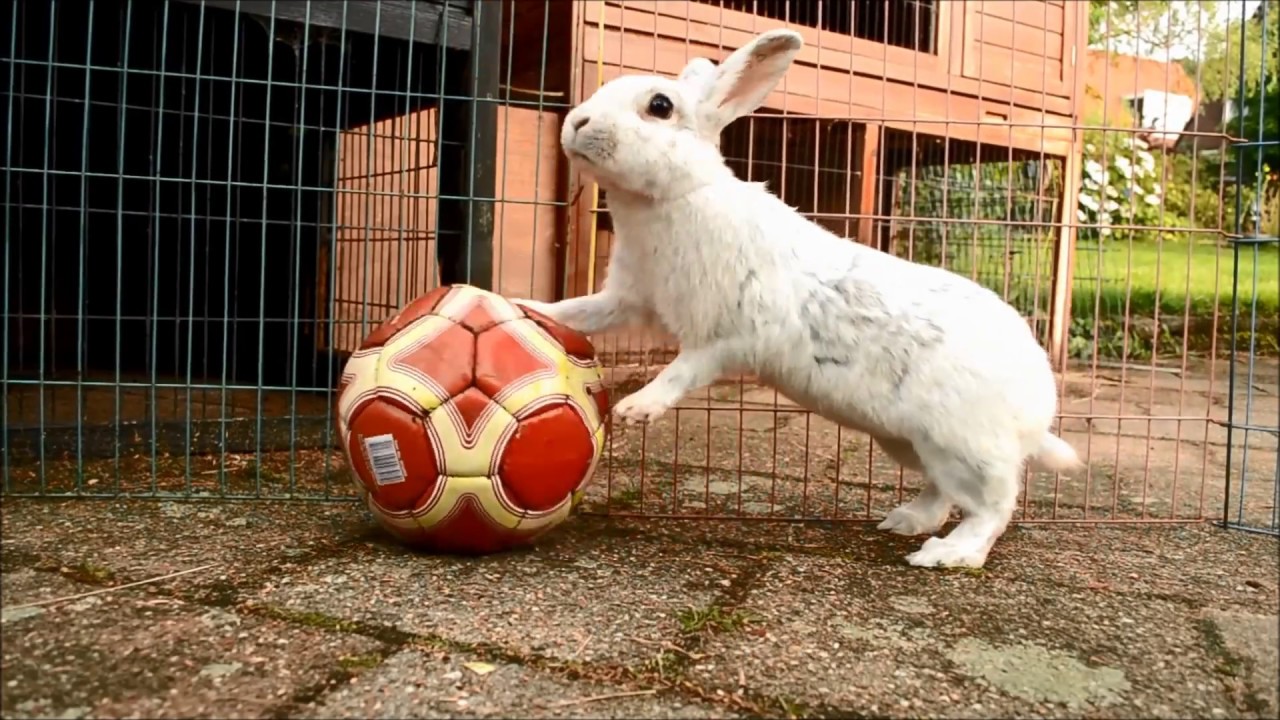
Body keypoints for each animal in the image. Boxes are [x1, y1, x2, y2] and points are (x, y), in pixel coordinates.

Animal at [509, 28, 1080, 568]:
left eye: (660, 105)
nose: (576, 123)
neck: (676, 197)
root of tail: (1037, 407)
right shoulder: (628, 298)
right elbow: (579, 312)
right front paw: (518, 306)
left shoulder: (726, 334)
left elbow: (682, 370)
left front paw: (636, 408)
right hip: (909, 442)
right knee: (942, 493)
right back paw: (905, 521)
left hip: (963, 446)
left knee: (993, 506)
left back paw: (946, 553)